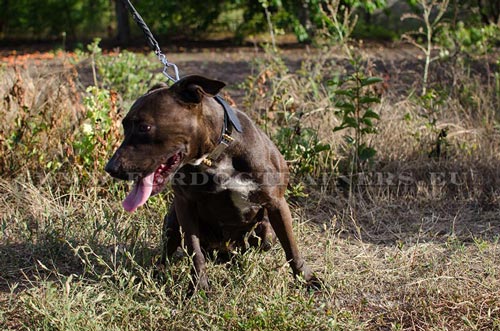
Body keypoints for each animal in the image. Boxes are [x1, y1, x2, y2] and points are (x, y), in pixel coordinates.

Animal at [105, 75, 318, 290]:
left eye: (144, 127)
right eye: (124, 125)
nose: (111, 168)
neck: (216, 156)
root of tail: (222, 251)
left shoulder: (276, 204)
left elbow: (291, 246)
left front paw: (306, 278)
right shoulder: (184, 205)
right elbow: (194, 250)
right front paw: (199, 287)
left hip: (266, 233)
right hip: (172, 219)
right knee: (168, 251)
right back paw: (158, 272)